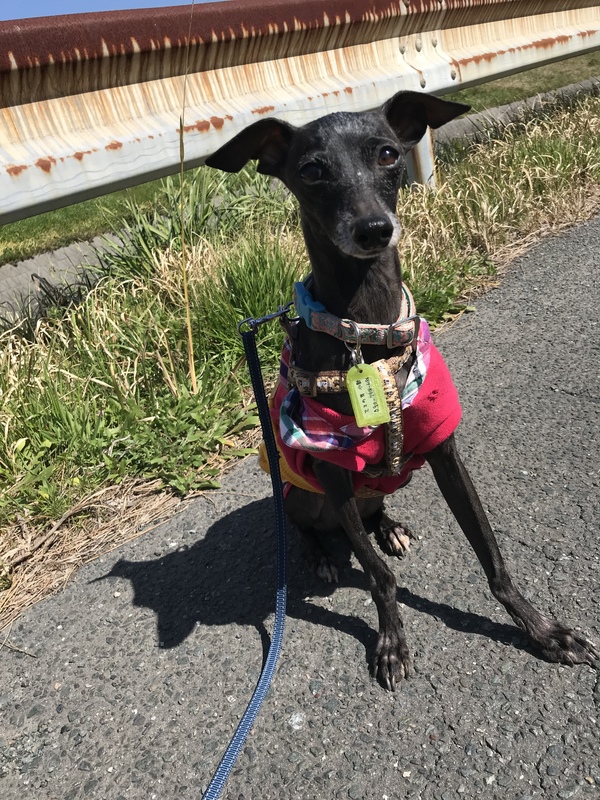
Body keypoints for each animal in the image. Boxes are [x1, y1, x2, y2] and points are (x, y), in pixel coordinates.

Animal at [206, 91, 598, 690]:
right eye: (311, 170)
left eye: (389, 154)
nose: (373, 228)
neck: (367, 332)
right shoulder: (332, 470)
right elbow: (378, 578)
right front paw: (391, 640)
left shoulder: (444, 451)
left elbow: (492, 557)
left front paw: (543, 630)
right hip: (304, 496)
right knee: (315, 528)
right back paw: (322, 555)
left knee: (374, 514)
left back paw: (388, 526)